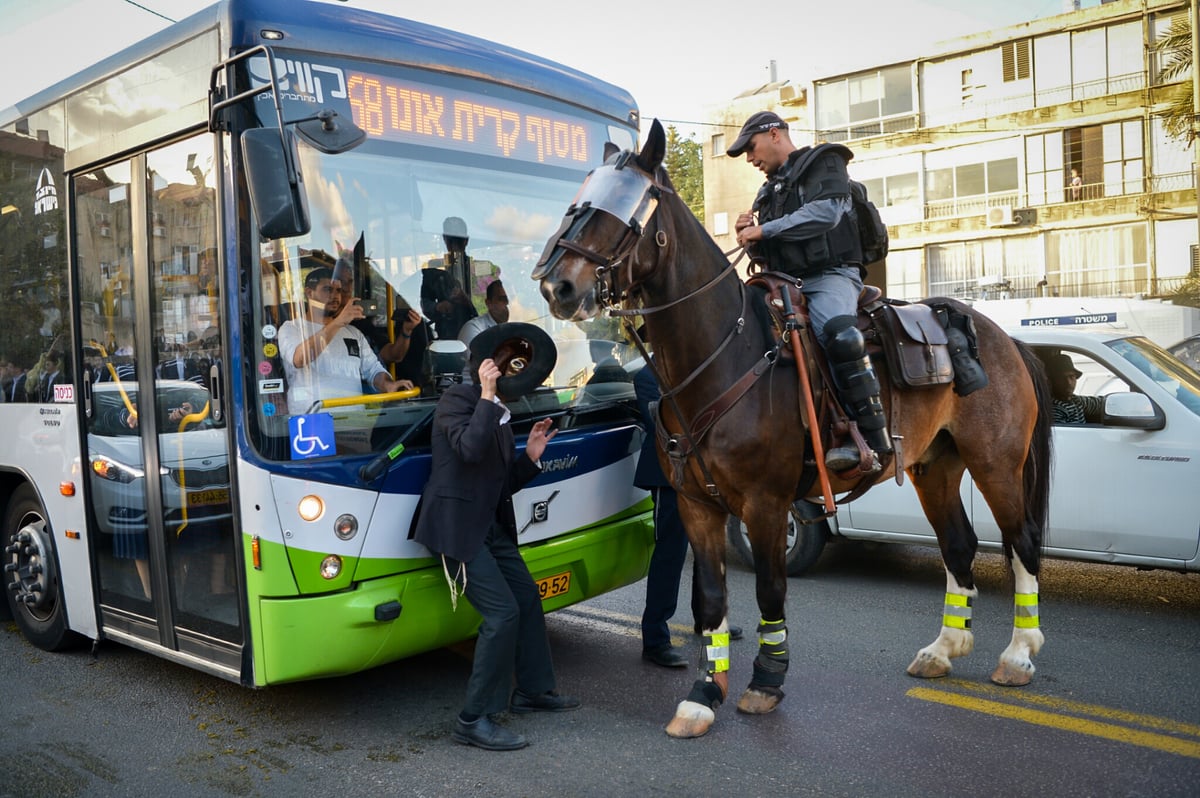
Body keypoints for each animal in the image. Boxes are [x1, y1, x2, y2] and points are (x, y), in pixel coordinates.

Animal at [535, 121, 1051, 739]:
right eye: (577, 203)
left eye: (625, 209)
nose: (555, 287)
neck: (722, 356)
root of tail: (1005, 336)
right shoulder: (696, 505)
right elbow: (710, 599)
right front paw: (703, 695)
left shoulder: (766, 504)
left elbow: (769, 591)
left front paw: (765, 681)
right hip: (934, 467)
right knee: (958, 544)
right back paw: (944, 648)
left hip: (996, 462)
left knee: (1022, 543)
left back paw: (1018, 654)